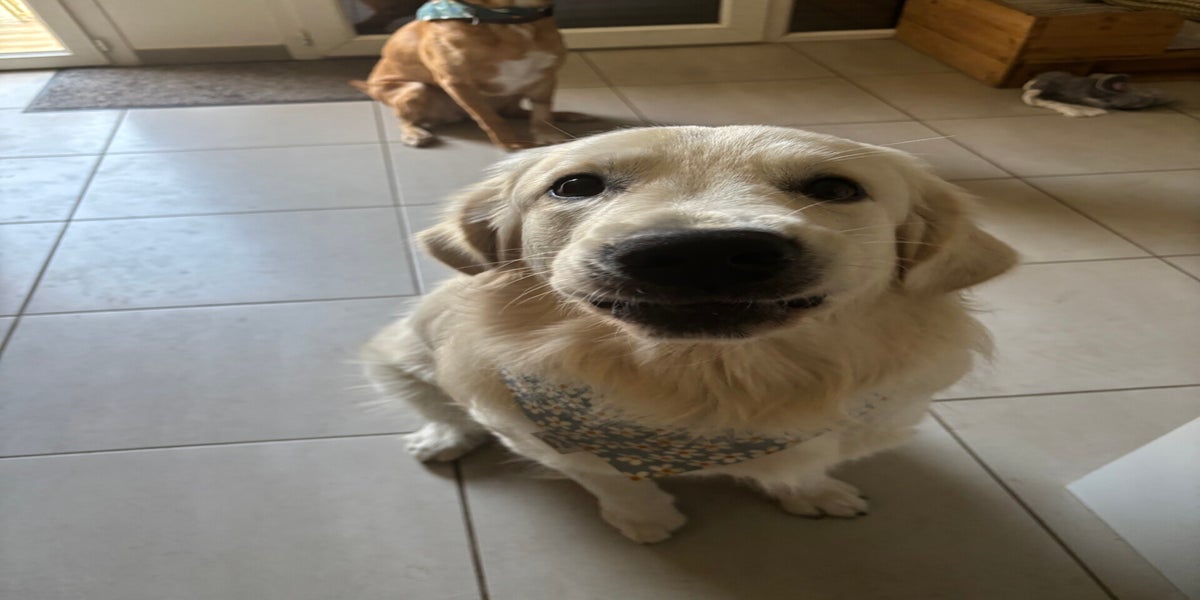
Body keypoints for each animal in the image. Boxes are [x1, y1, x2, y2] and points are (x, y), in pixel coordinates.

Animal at [350, 0, 584, 150]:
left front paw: (548, 133)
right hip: (416, 89)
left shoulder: (544, 74)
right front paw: (511, 144)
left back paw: (567, 115)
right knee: (404, 118)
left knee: (515, 111)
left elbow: (542, 112)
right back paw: (414, 133)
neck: (509, 20)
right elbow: (489, 118)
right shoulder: (458, 82)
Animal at [362, 125, 1018, 543]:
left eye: (834, 188)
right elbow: (609, 480)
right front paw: (645, 519)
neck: (707, 383)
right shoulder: (536, 431)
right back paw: (442, 437)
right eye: (574, 186)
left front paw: (813, 493)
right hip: (400, 351)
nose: (703, 251)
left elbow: (805, 464)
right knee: (437, 404)